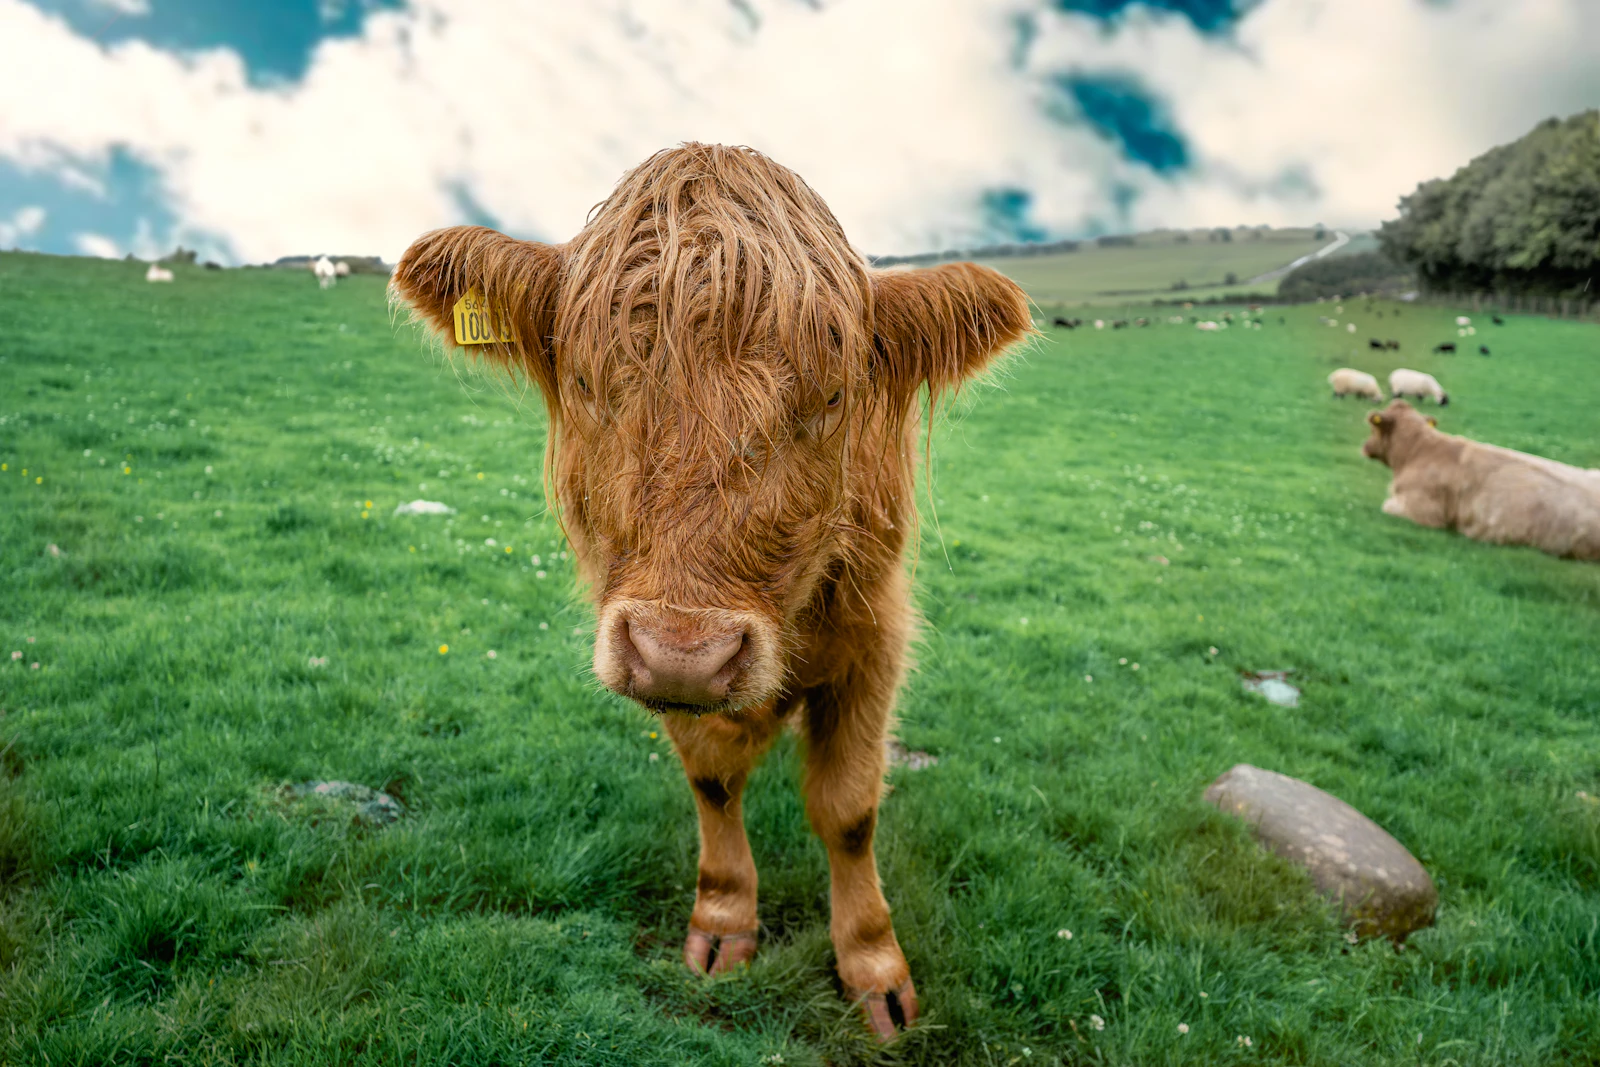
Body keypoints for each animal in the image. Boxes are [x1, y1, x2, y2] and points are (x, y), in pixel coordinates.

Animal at [389, 144, 1032, 1041]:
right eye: (584, 382)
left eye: (833, 397)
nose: (687, 652)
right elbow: (713, 781)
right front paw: (725, 922)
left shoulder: (876, 633)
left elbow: (848, 807)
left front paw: (875, 968)